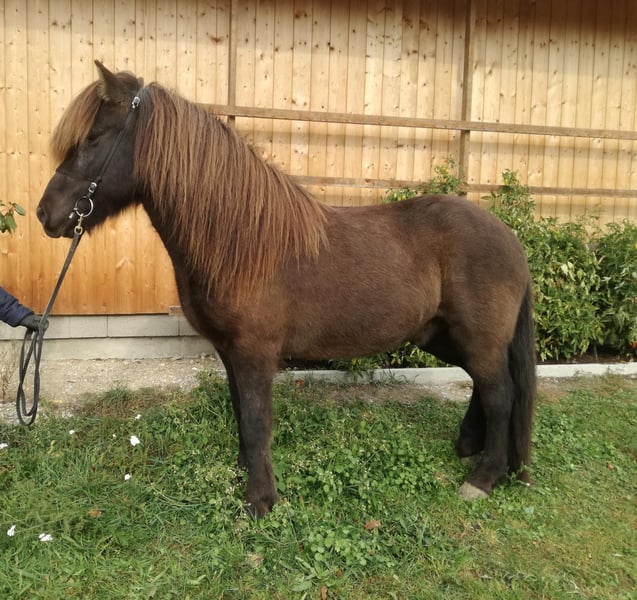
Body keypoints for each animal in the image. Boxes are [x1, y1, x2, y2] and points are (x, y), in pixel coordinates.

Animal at [37, 61, 536, 516]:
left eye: (94, 138)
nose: (46, 214)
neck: (239, 241)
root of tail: (510, 238)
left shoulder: (255, 353)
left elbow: (258, 421)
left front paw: (260, 501)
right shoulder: (230, 352)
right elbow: (241, 412)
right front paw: (245, 471)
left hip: (475, 338)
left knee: (501, 395)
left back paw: (483, 477)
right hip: (442, 336)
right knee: (485, 387)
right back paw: (469, 446)